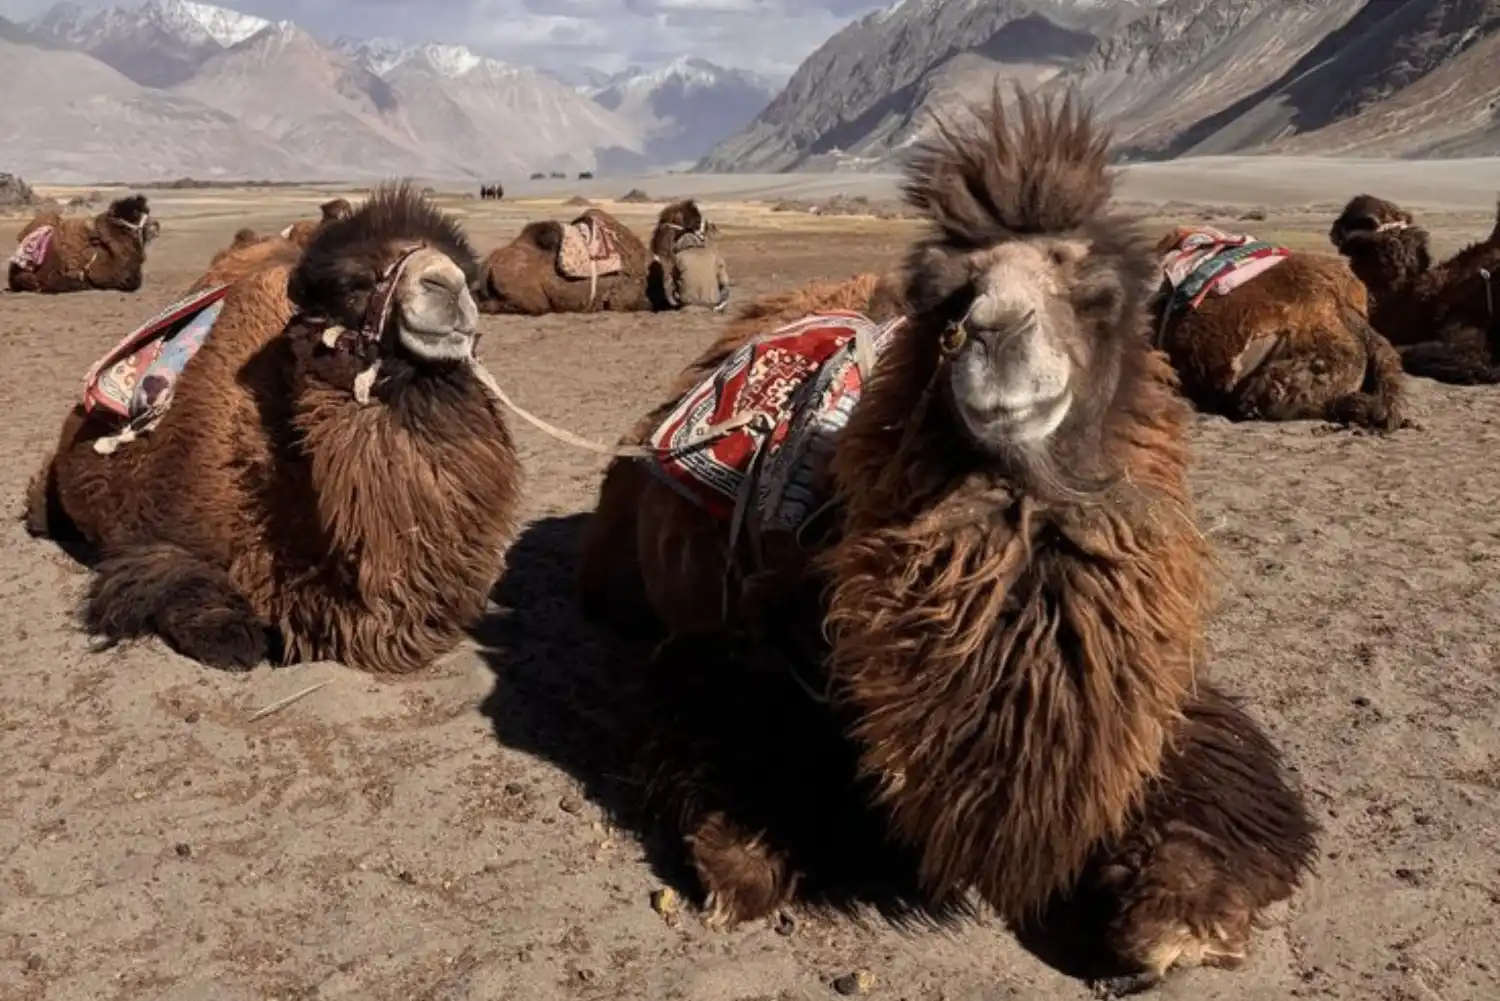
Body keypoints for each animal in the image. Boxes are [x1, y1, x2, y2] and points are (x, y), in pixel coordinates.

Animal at [23, 181, 522, 675]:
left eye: (467, 270)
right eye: (354, 285)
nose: (449, 286)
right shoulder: (156, 541)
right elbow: (195, 602)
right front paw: (235, 637)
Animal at [577, 88, 1317, 994]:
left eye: (1093, 287)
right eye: (955, 295)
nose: (997, 336)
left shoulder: (1151, 709)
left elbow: (1209, 805)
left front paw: (1172, 922)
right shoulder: (746, 649)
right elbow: (728, 775)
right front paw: (737, 865)